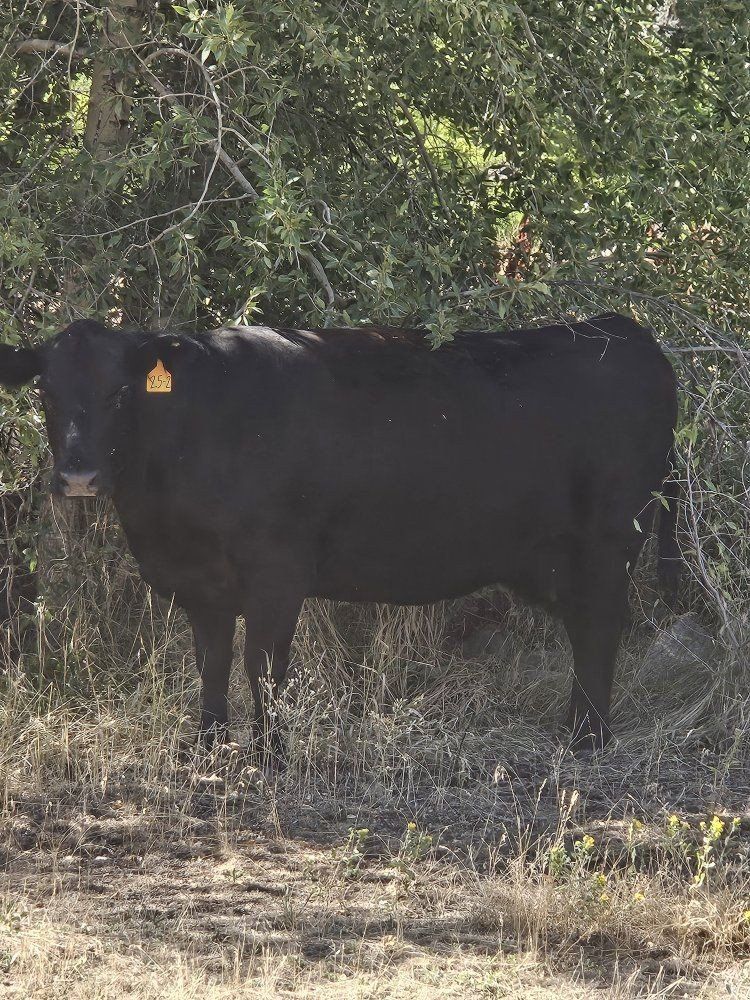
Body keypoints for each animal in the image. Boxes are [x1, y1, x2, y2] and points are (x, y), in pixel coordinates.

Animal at [0, 313, 679, 753]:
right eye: (45, 390)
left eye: (120, 391)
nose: (79, 475)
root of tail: (623, 330)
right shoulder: (201, 580)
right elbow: (213, 661)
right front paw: (208, 745)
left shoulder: (277, 571)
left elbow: (263, 664)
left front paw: (268, 754)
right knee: (586, 627)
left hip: (609, 540)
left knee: (599, 628)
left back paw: (588, 735)